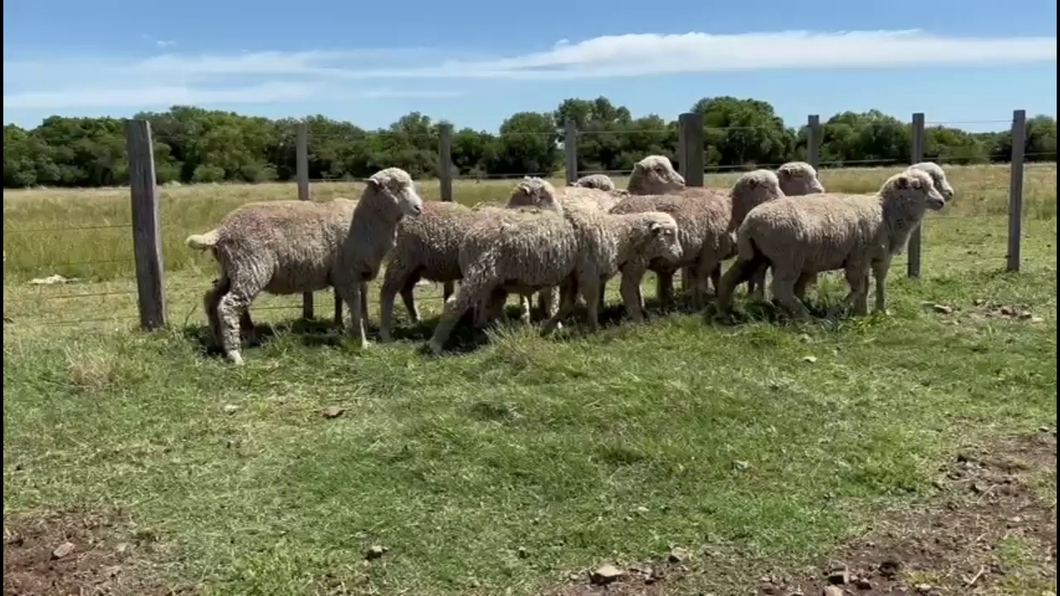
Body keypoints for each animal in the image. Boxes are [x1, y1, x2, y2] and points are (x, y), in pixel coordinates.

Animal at [188, 165, 423, 362]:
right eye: (394, 187)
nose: (418, 208)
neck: (365, 222)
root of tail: (221, 230)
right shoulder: (345, 274)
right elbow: (355, 304)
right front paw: (362, 342)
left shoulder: (359, 274)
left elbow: (362, 304)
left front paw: (363, 331)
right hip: (250, 267)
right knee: (228, 306)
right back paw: (234, 355)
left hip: (232, 269)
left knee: (211, 299)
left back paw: (218, 341)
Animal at [716, 167, 949, 320]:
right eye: (918, 186)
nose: (941, 202)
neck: (885, 211)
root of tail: (750, 221)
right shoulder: (859, 258)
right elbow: (860, 287)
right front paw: (840, 310)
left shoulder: (874, 257)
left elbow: (872, 285)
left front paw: (867, 312)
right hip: (787, 259)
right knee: (781, 289)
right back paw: (805, 316)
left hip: (754, 255)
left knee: (729, 279)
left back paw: (723, 310)